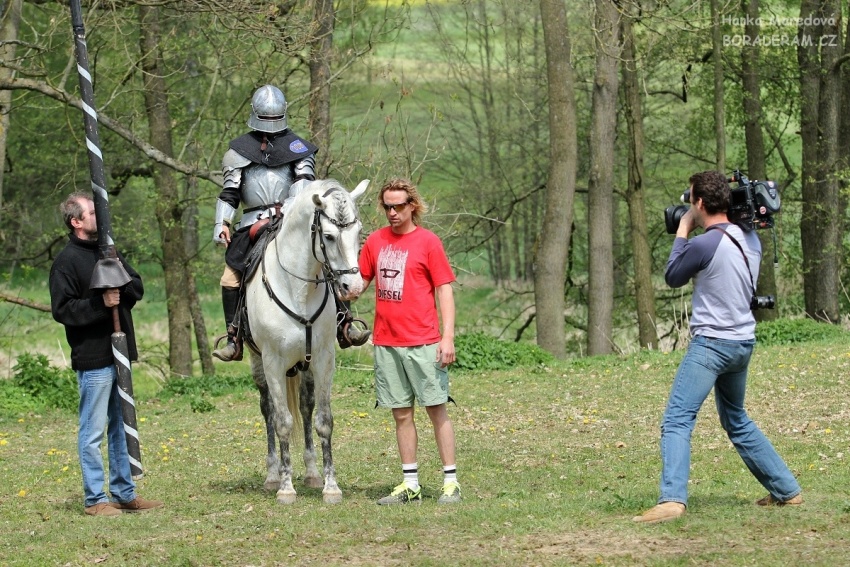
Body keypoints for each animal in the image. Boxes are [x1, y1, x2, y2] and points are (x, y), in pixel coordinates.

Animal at [243, 179, 366, 506]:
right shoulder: (273, 362)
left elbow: (323, 419)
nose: (353, 287)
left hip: (305, 366)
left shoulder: (323, 359)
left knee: (306, 406)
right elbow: (282, 422)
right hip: (258, 362)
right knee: (268, 410)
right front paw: (285, 488)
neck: (297, 290)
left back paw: (311, 473)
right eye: (329, 236)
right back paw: (273, 475)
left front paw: (330, 486)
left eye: (359, 233)